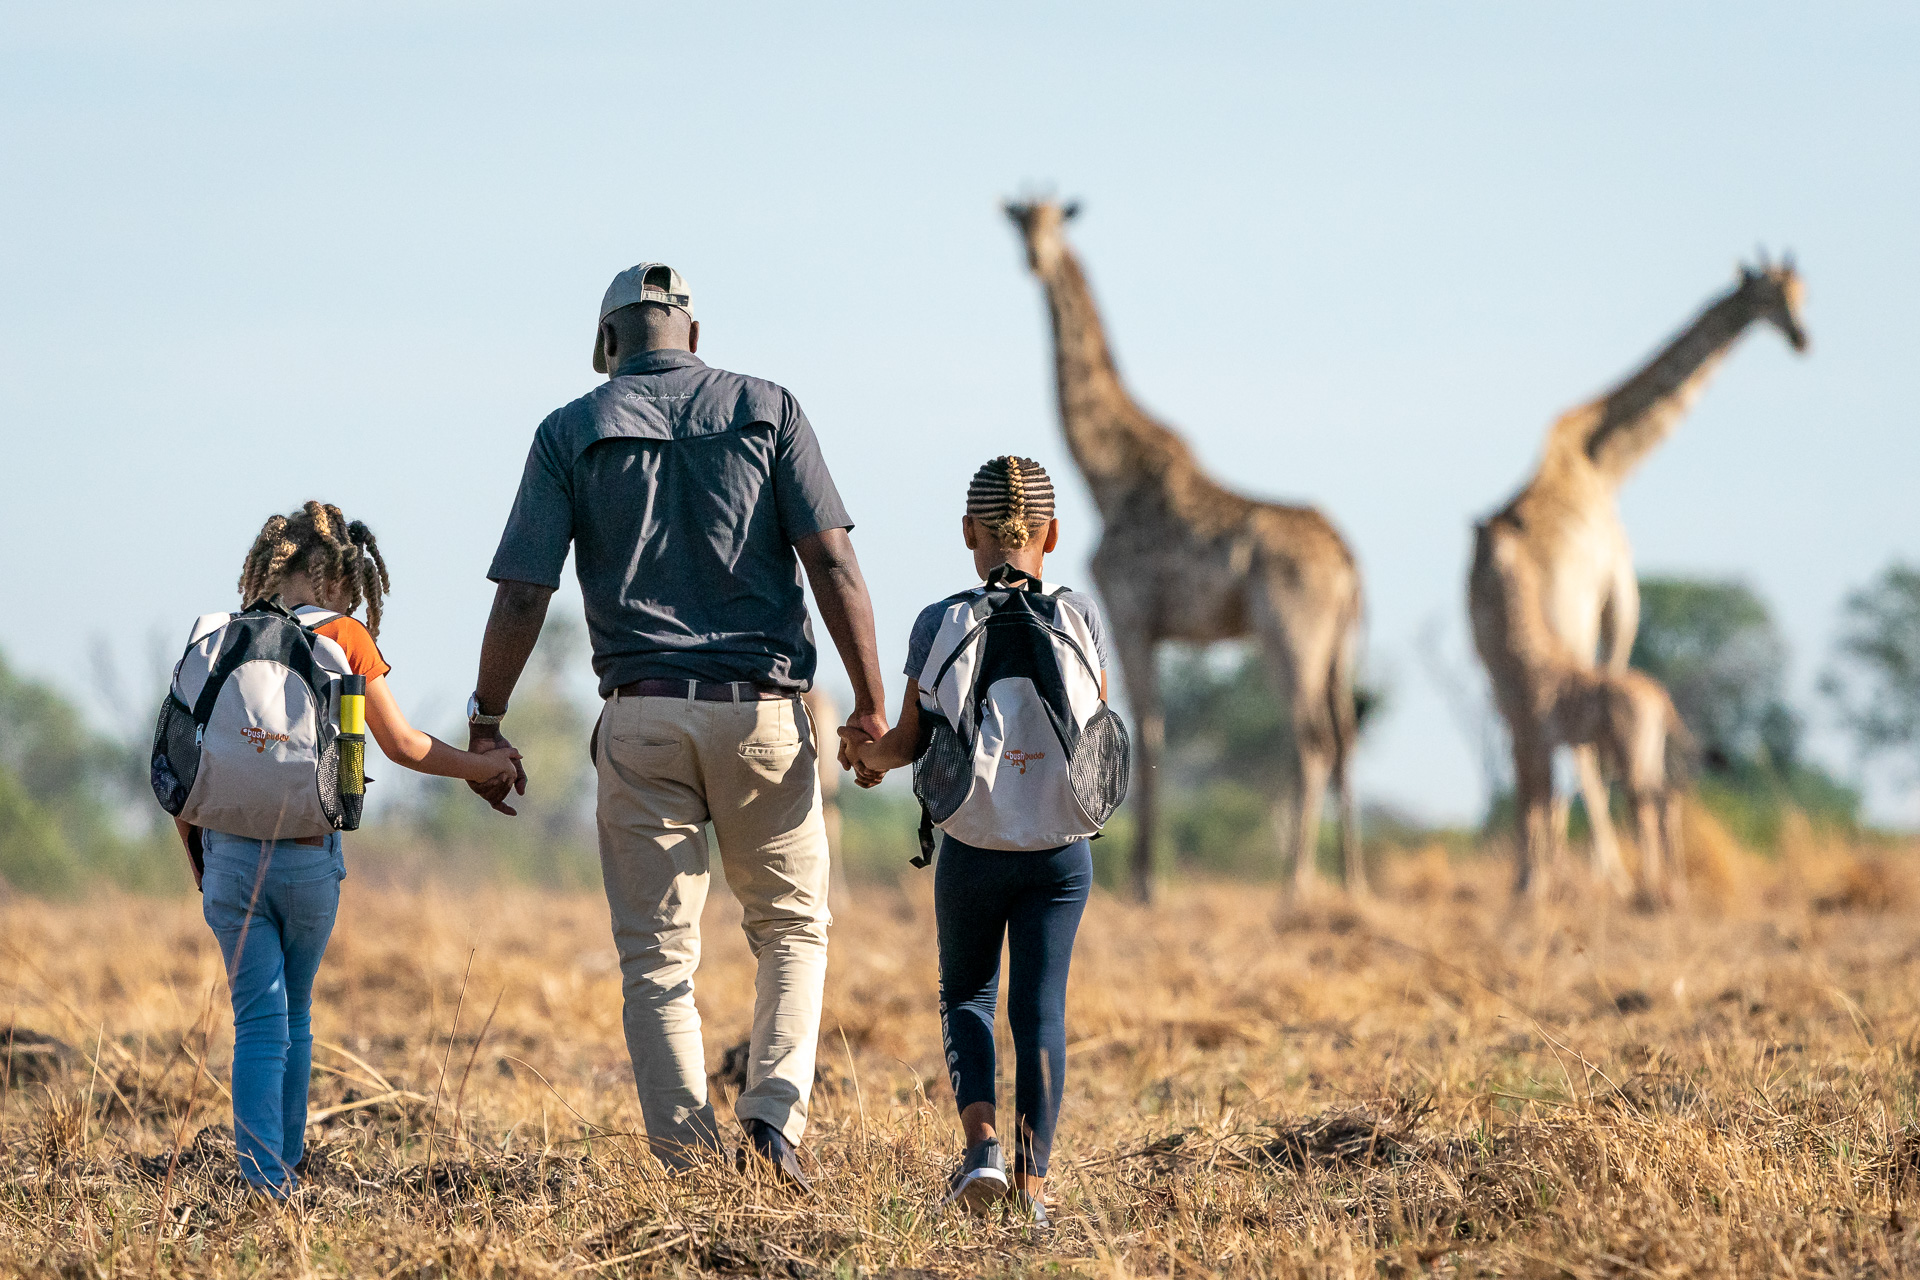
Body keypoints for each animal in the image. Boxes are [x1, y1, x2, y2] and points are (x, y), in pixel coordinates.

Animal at [1006, 197, 1367, 901]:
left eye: (1055, 223)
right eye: (1019, 224)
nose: (1034, 258)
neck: (1106, 477)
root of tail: (1347, 561)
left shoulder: (1129, 611)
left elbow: (1146, 729)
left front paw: (1146, 884)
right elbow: (1152, 728)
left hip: (1291, 632)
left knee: (1311, 737)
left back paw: (1296, 886)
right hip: (1341, 646)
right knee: (1343, 737)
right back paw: (1352, 882)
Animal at [1466, 518, 1697, 901]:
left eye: (1481, 549)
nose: (1475, 573)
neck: (1524, 659)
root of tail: (1659, 695)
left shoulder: (1527, 741)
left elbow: (1531, 808)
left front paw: (1529, 887)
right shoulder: (1537, 746)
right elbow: (1543, 806)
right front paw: (1538, 884)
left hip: (1631, 753)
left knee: (1648, 806)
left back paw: (1650, 888)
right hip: (1648, 754)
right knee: (1668, 800)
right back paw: (1673, 887)